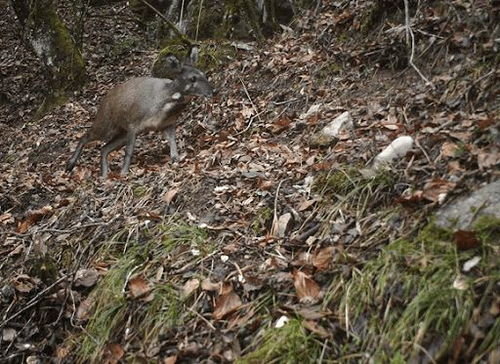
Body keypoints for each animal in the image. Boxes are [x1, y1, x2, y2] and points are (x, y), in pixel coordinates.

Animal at [65, 47, 213, 178]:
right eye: (192, 78)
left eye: (204, 74)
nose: (214, 90)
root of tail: (103, 101)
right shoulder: (133, 124)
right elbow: (129, 151)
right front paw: (124, 172)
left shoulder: (168, 124)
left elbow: (173, 142)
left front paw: (176, 159)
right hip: (106, 124)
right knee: (86, 136)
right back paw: (70, 165)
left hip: (121, 132)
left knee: (104, 148)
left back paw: (104, 175)